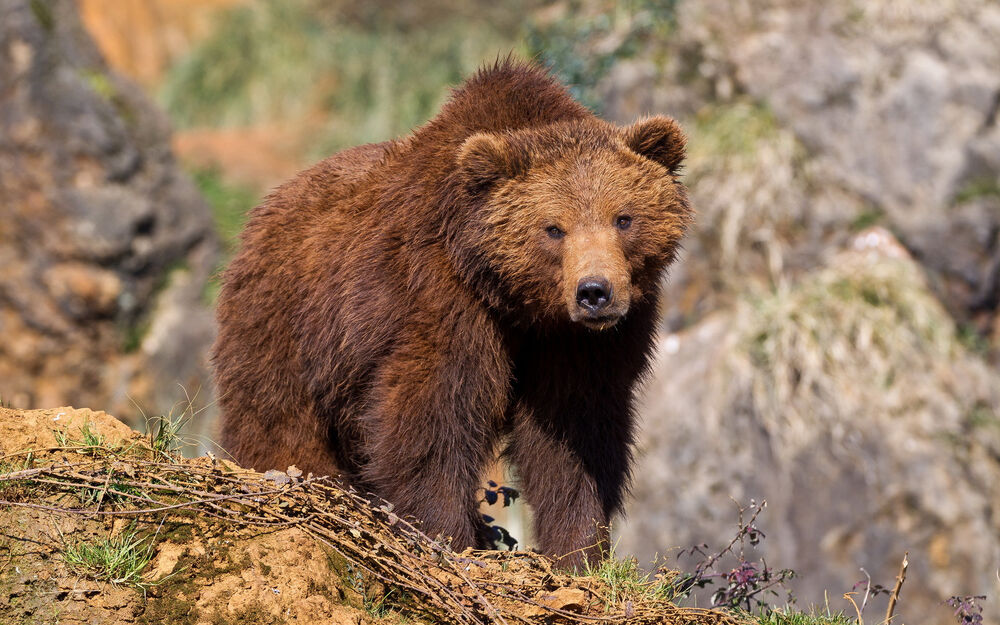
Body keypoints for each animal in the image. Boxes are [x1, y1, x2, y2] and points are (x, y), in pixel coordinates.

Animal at [212, 59, 691, 567]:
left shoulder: (583, 343)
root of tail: (262, 210)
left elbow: (575, 435)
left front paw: (578, 549)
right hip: (287, 320)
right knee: (277, 415)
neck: (520, 303)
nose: (594, 293)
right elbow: (432, 417)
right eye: (553, 228)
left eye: (624, 218)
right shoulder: (440, 298)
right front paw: (448, 535)